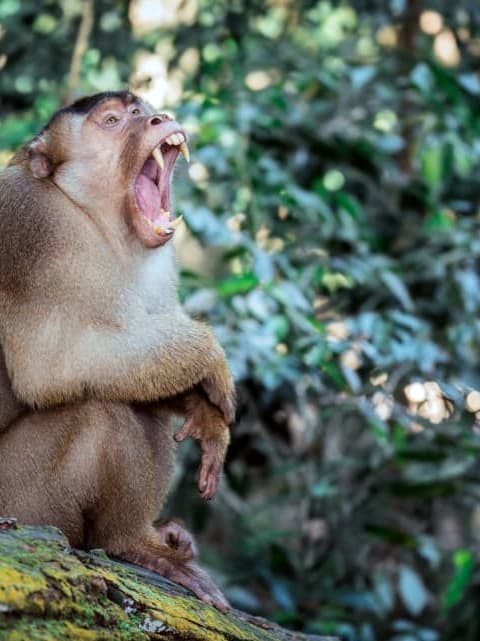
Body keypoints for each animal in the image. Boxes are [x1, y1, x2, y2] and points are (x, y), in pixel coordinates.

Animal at [0, 91, 236, 609]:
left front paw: (202, 407)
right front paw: (208, 355)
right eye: (111, 121)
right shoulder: (31, 228)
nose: (159, 118)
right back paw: (129, 543)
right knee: (101, 412)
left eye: (140, 110)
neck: (91, 219)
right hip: (21, 501)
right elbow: (49, 369)